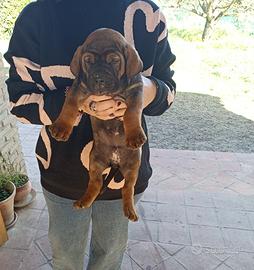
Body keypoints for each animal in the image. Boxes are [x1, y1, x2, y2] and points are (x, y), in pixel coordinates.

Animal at [48, 28, 147, 221]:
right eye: (88, 61)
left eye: (114, 60)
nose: (99, 78)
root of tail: (115, 162)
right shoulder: (78, 88)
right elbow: (69, 107)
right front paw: (61, 128)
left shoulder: (136, 91)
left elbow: (132, 113)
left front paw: (134, 135)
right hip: (94, 160)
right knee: (95, 183)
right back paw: (84, 201)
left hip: (133, 166)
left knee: (128, 187)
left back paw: (129, 209)